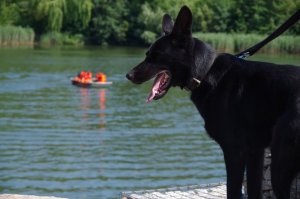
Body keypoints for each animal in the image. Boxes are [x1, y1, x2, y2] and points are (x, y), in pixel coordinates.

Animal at [126, 5, 300, 198]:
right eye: (147, 54)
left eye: (155, 56)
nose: (128, 75)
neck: (205, 71)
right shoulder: (255, 153)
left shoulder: (235, 153)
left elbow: (233, 190)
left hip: (279, 168)